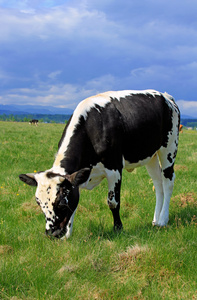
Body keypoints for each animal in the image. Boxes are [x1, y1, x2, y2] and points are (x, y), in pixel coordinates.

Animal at [19, 89, 181, 239]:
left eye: (61, 203)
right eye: (39, 203)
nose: (52, 234)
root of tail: (166, 96)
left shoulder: (114, 168)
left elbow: (113, 202)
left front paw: (118, 228)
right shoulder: (80, 176)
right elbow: (75, 203)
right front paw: (68, 235)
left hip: (168, 149)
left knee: (168, 182)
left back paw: (163, 220)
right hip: (150, 155)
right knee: (158, 184)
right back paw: (155, 220)